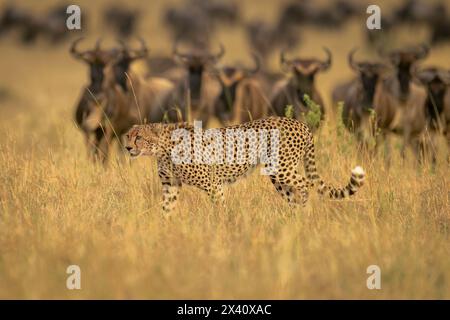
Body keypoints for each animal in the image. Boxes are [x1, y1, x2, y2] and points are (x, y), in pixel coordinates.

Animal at [125, 117, 364, 212]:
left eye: (139, 138)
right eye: (128, 136)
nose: (127, 148)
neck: (162, 148)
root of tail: (300, 123)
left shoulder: (213, 184)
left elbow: (220, 208)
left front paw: (222, 229)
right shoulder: (171, 185)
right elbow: (166, 209)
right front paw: (164, 230)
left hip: (281, 168)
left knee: (305, 185)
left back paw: (303, 214)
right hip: (278, 175)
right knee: (294, 193)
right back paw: (292, 220)